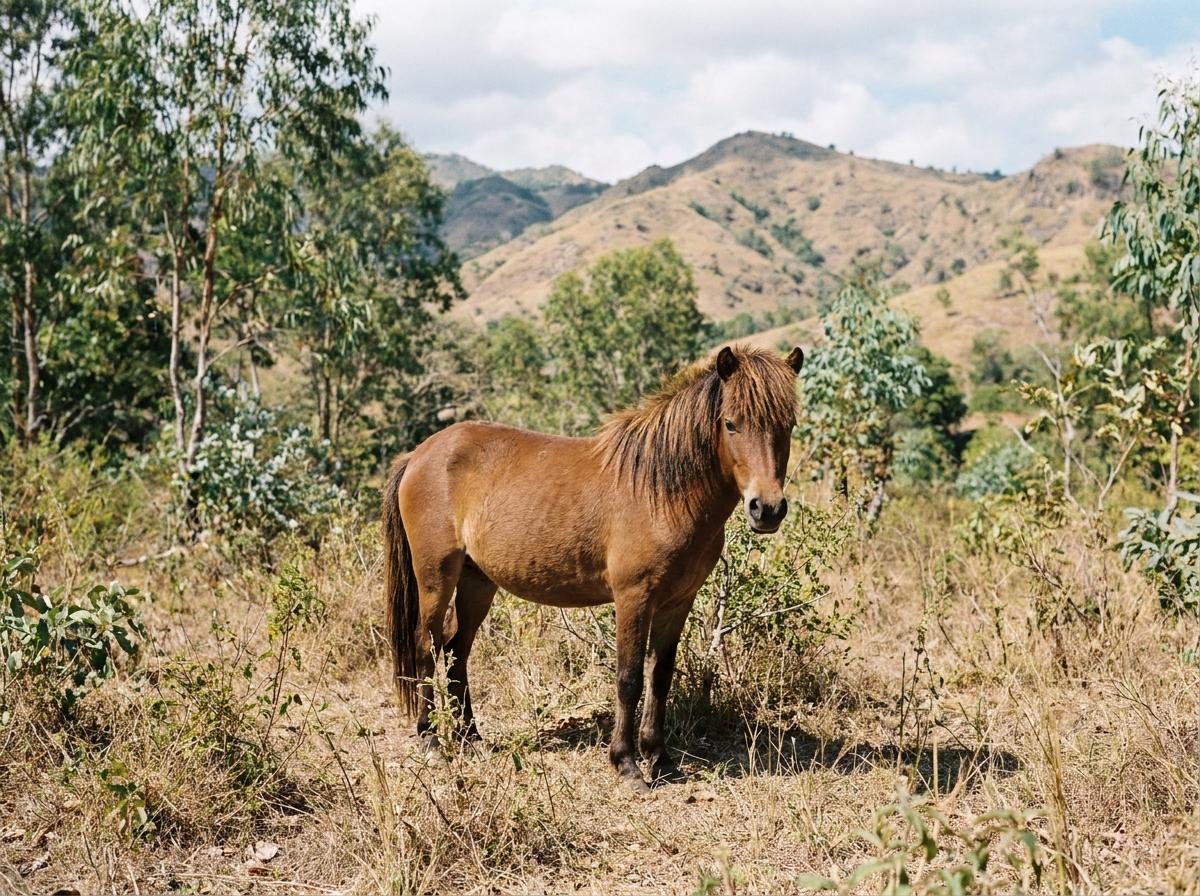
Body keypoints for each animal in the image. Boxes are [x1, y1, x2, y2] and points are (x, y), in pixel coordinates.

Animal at [382, 343, 804, 792]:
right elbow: (629, 678)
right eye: (731, 423)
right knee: (426, 647)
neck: (662, 492)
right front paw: (627, 764)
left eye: (789, 425)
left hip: (477, 582)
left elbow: (660, 677)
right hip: (436, 576)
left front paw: (661, 760)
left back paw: (471, 737)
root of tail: (419, 454)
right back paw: (431, 741)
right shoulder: (634, 598)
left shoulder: (678, 602)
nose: (767, 508)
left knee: (456, 652)